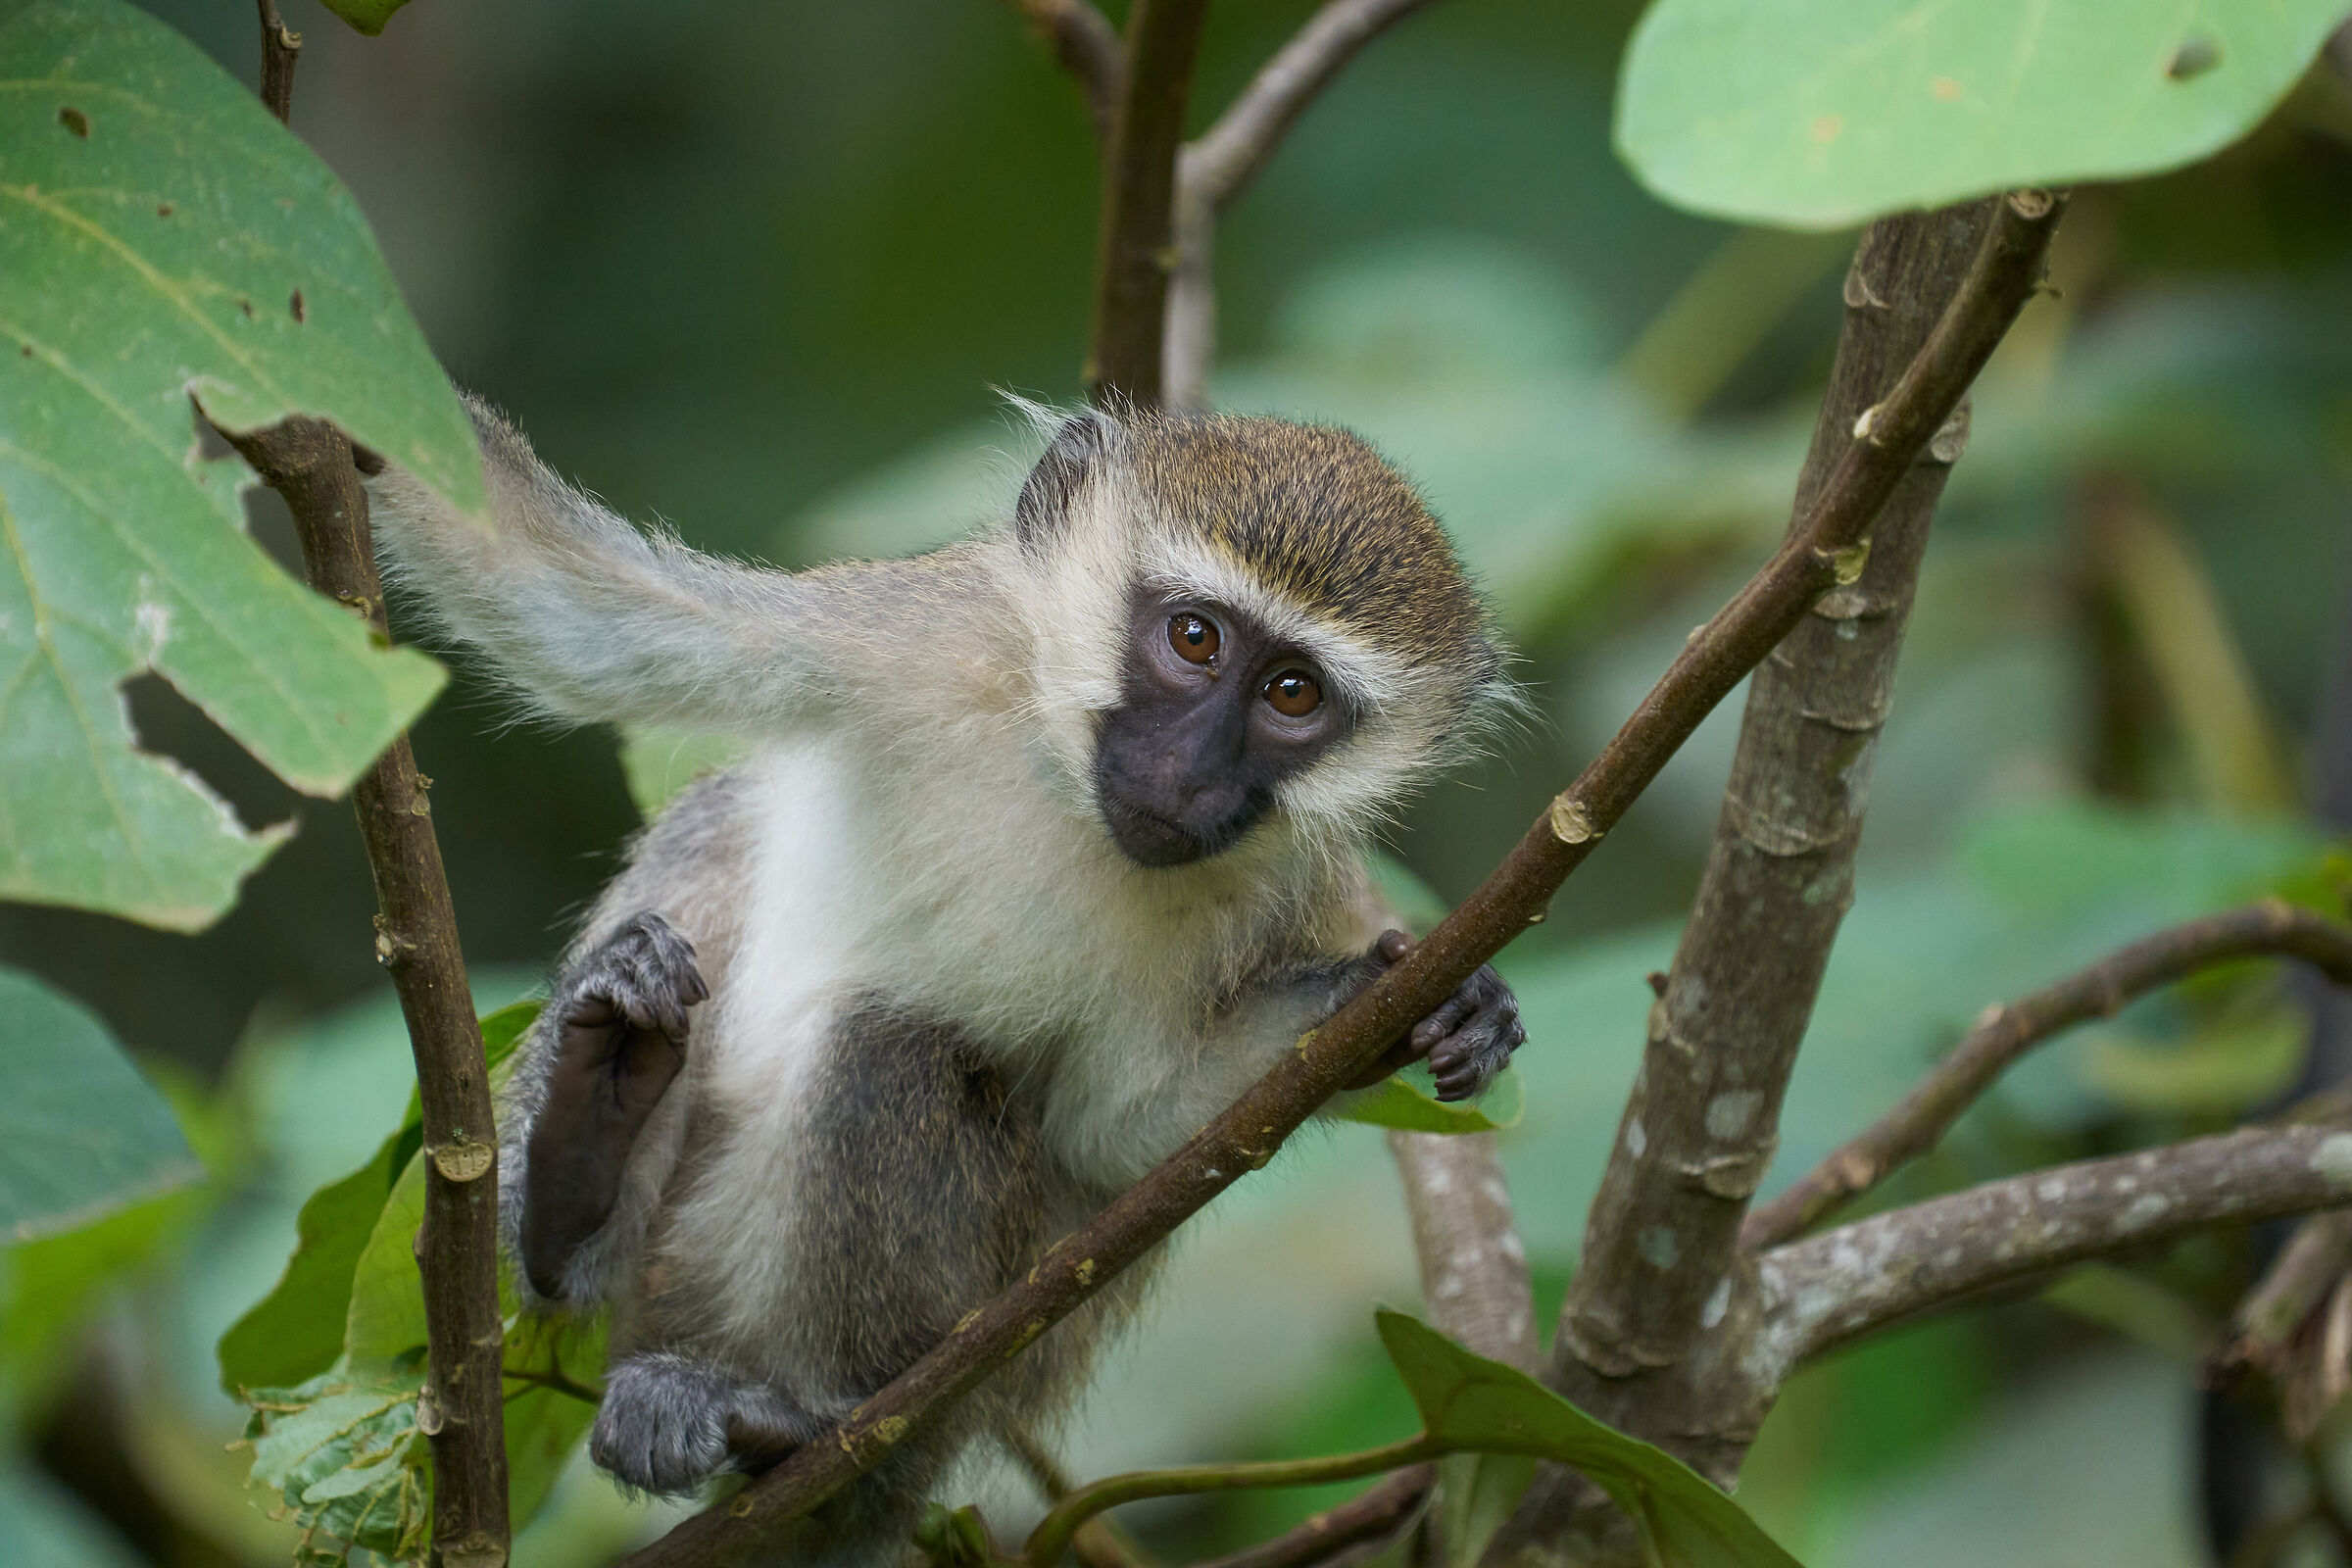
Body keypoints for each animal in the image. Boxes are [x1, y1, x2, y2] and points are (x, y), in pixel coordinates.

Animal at [364, 395, 1524, 1564]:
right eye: (1195, 638)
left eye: (1294, 695)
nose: (1191, 771)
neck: (1063, 788)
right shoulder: (910, 631)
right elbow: (571, 605)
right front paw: (336, 434)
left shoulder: (1281, 888)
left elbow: (1119, 1126)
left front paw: (1407, 1007)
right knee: (717, 834)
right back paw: (583, 1150)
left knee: (888, 1046)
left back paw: (796, 1420)